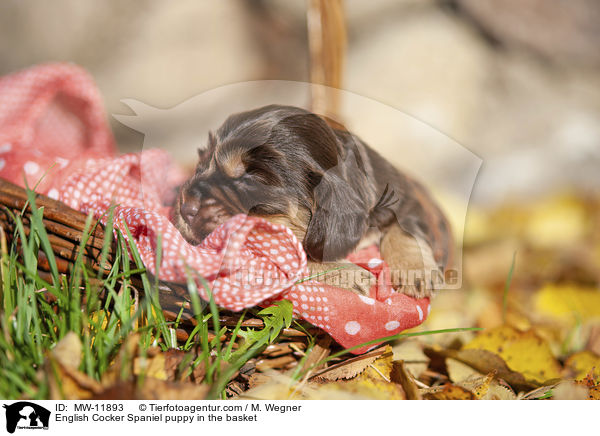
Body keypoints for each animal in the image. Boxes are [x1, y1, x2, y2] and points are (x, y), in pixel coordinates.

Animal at [172, 104, 450, 298]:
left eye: (250, 179)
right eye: (201, 162)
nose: (185, 207)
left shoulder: (404, 198)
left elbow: (405, 230)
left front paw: (417, 272)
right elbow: (305, 257)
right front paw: (350, 274)